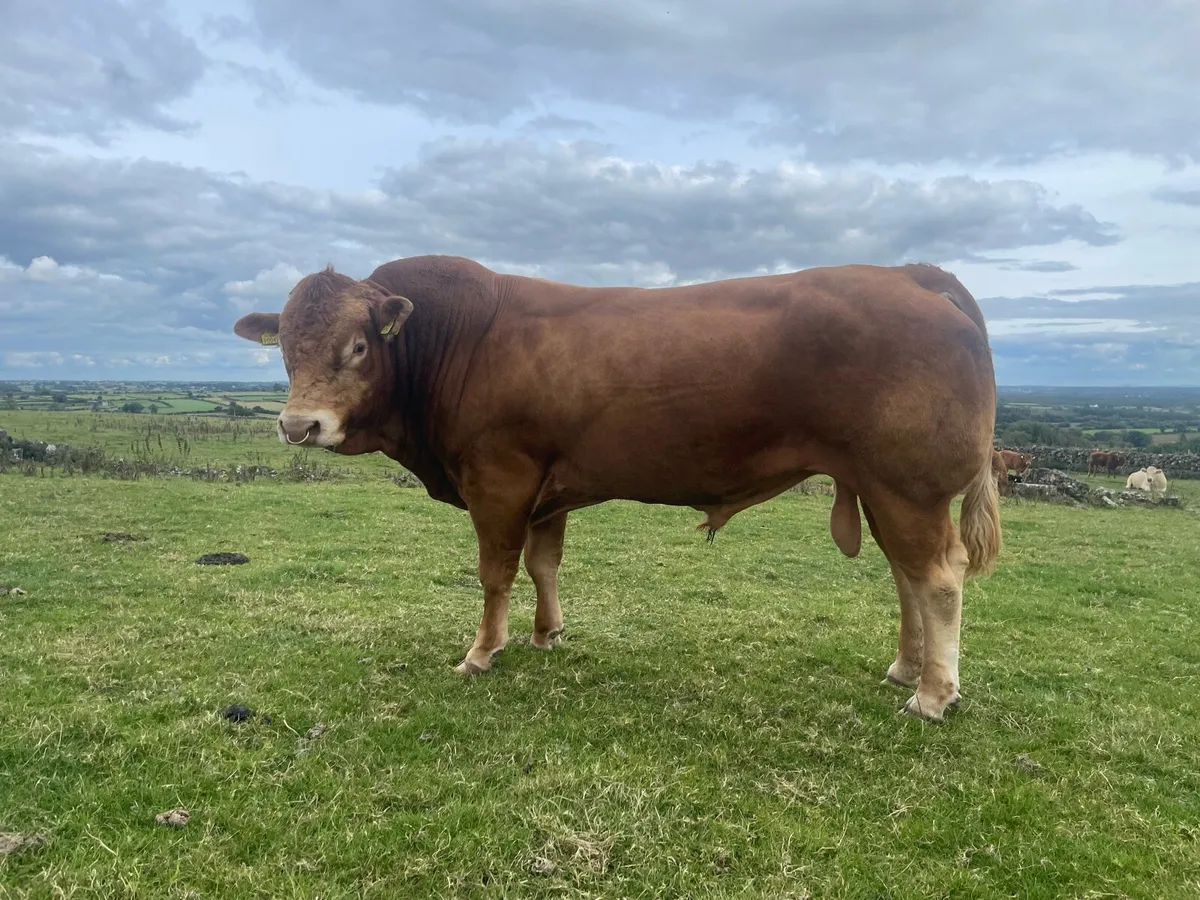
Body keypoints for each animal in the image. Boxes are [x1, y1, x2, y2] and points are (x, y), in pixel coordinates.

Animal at [233, 256, 1001, 723]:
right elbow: (543, 562)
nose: (299, 425)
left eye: (359, 346)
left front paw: (483, 651)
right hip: (883, 487)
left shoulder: (499, 477)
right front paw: (546, 633)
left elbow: (495, 571)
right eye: (285, 349)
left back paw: (934, 694)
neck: (454, 342)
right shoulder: (546, 486)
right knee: (905, 576)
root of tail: (907, 274)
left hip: (908, 486)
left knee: (937, 578)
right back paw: (905, 668)